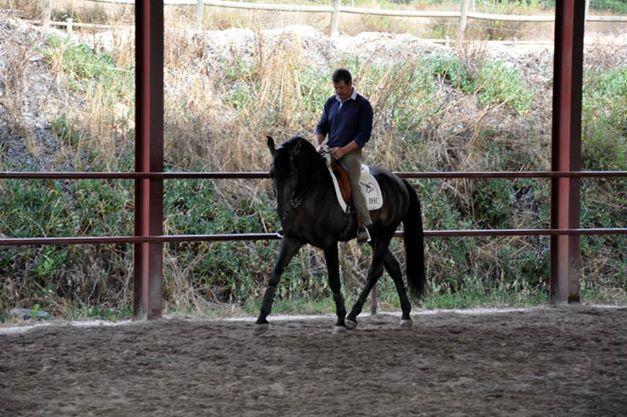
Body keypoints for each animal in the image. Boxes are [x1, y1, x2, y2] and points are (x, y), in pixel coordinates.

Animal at [255, 136, 426, 332]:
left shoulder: (329, 242)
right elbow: (275, 275)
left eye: (292, 174)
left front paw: (339, 320)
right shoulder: (292, 239)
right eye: (272, 174)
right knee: (393, 267)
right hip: (374, 236)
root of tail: (399, 181)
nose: (283, 212)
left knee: (374, 271)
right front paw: (261, 318)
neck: (310, 193)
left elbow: (334, 280)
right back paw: (405, 314)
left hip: (386, 231)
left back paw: (352, 316)